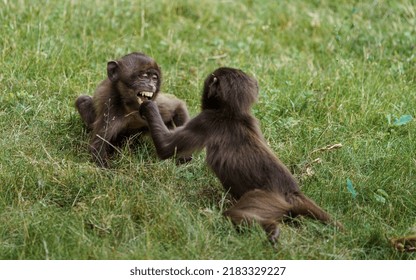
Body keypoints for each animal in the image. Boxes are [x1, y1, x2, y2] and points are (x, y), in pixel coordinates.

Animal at [141, 66, 342, 242]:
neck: (234, 114)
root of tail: (291, 191)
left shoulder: (207, 120)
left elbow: (165, 147)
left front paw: (148, 106)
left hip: (264, 199)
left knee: (235, 214)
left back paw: (271, 229)